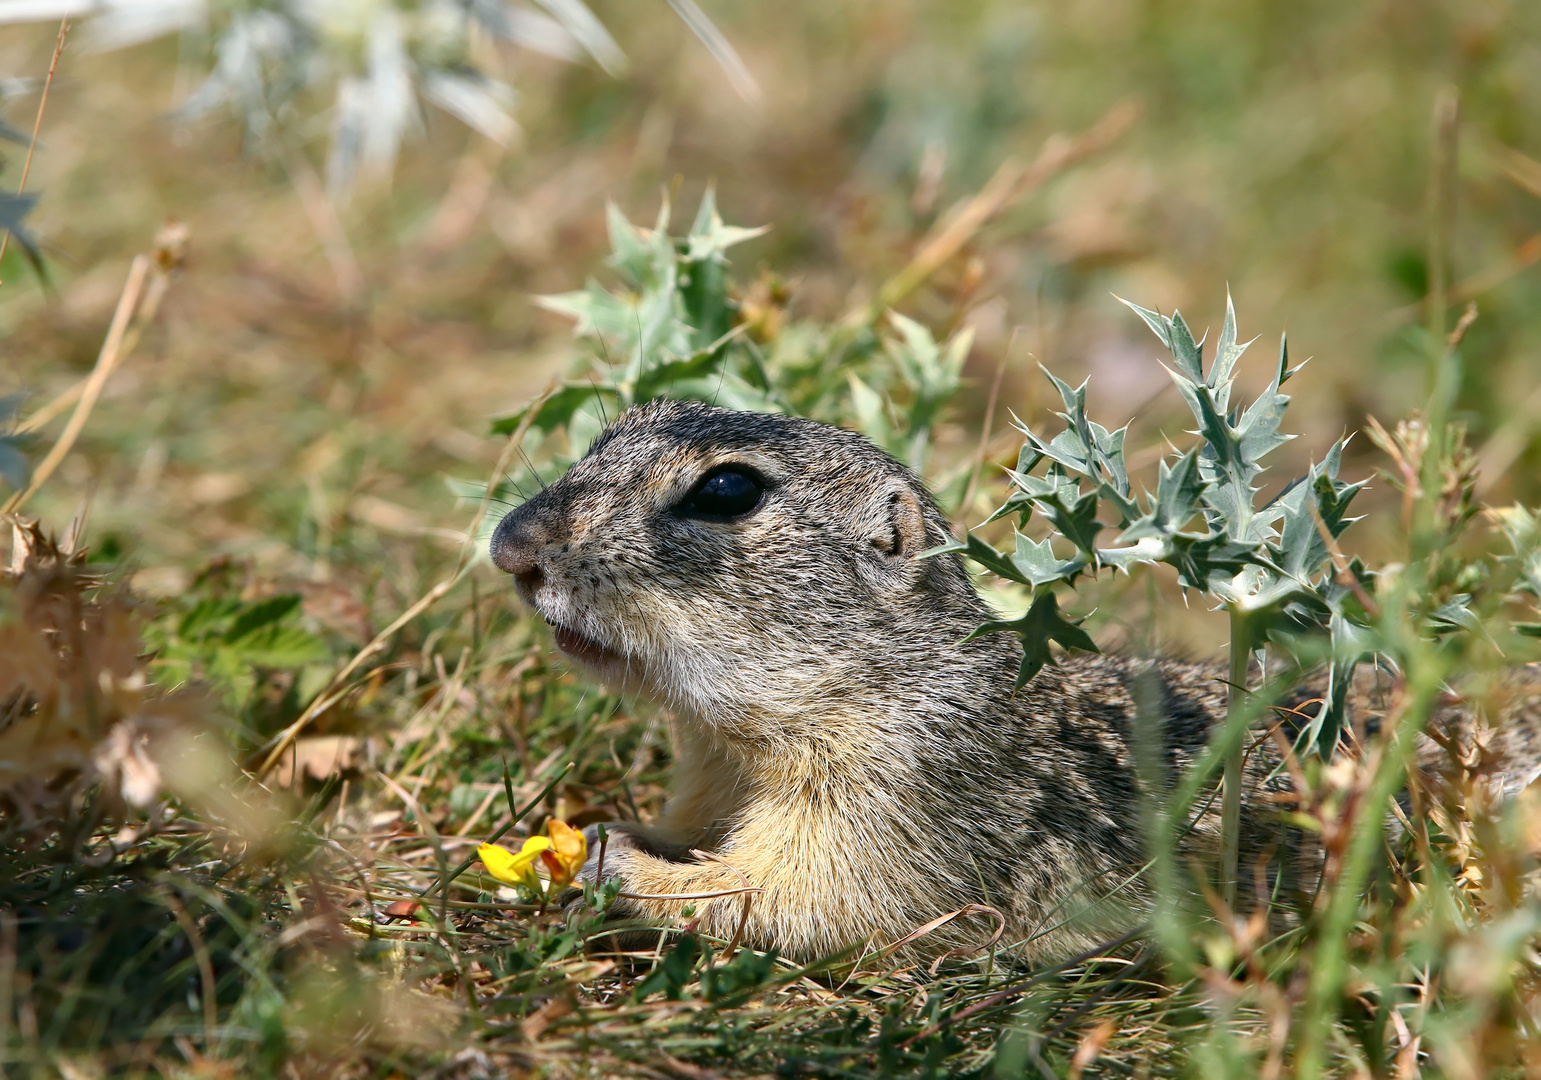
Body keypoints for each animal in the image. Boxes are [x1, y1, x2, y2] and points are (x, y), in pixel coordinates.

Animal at [490, 400, 1541, 967]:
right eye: (616, 427)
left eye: (724, 490)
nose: (509, 547)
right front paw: (591, 831)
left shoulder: (898, 790)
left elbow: (795, 897)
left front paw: (616, 863)